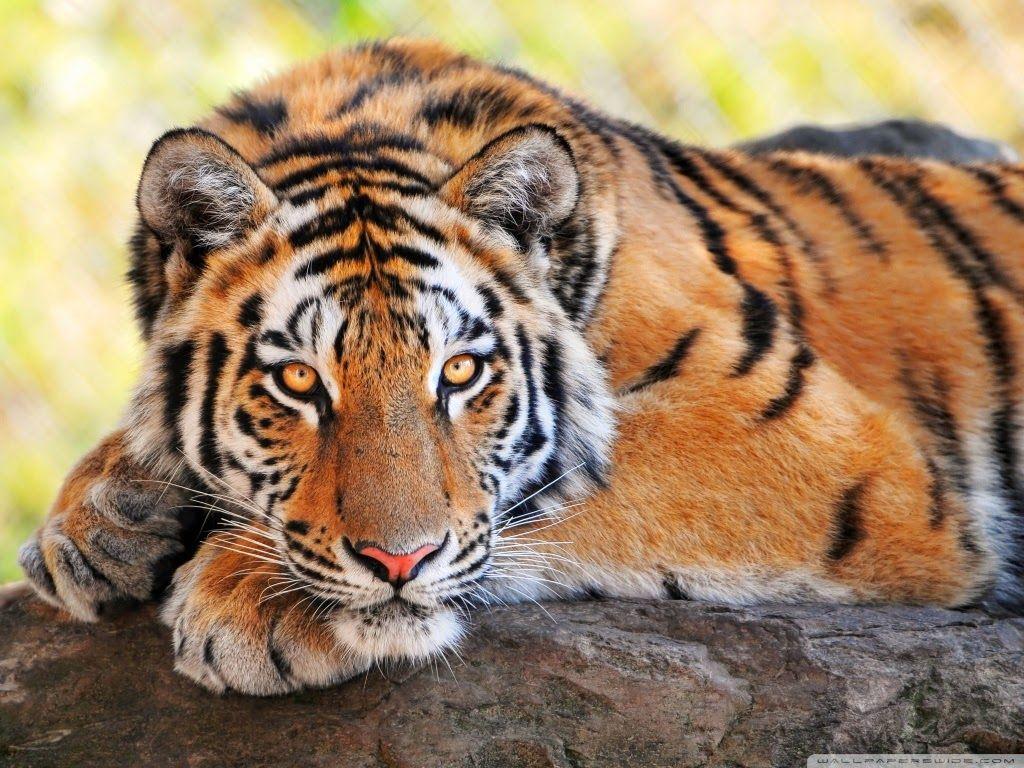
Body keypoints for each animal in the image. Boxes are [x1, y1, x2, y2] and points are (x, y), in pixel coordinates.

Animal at [17, 39, 1024, 696]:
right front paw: (101, 519)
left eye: (460, 373)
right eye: (299, 382)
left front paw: (248, 596)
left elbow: (559, 490)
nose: (398, 561)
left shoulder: (824, 446)